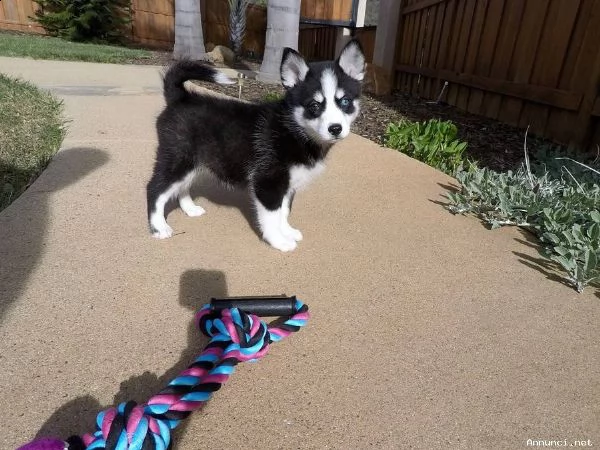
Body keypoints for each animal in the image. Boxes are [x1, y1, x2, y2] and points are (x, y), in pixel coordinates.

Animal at [146, 40, 366, 251]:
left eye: (345, 101)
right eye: (314, 105)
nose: (335, 128)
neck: (294, 130)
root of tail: (180, 97)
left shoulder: (287, 185)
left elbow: (284, 212)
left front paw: (288, 231)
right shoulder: (268, 182)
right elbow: (272, 217)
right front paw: (279, 240)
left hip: (196, 161)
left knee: (181, 187)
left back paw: (190, 208)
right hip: (178, 158)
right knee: (155, 189)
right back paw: (159, 227)